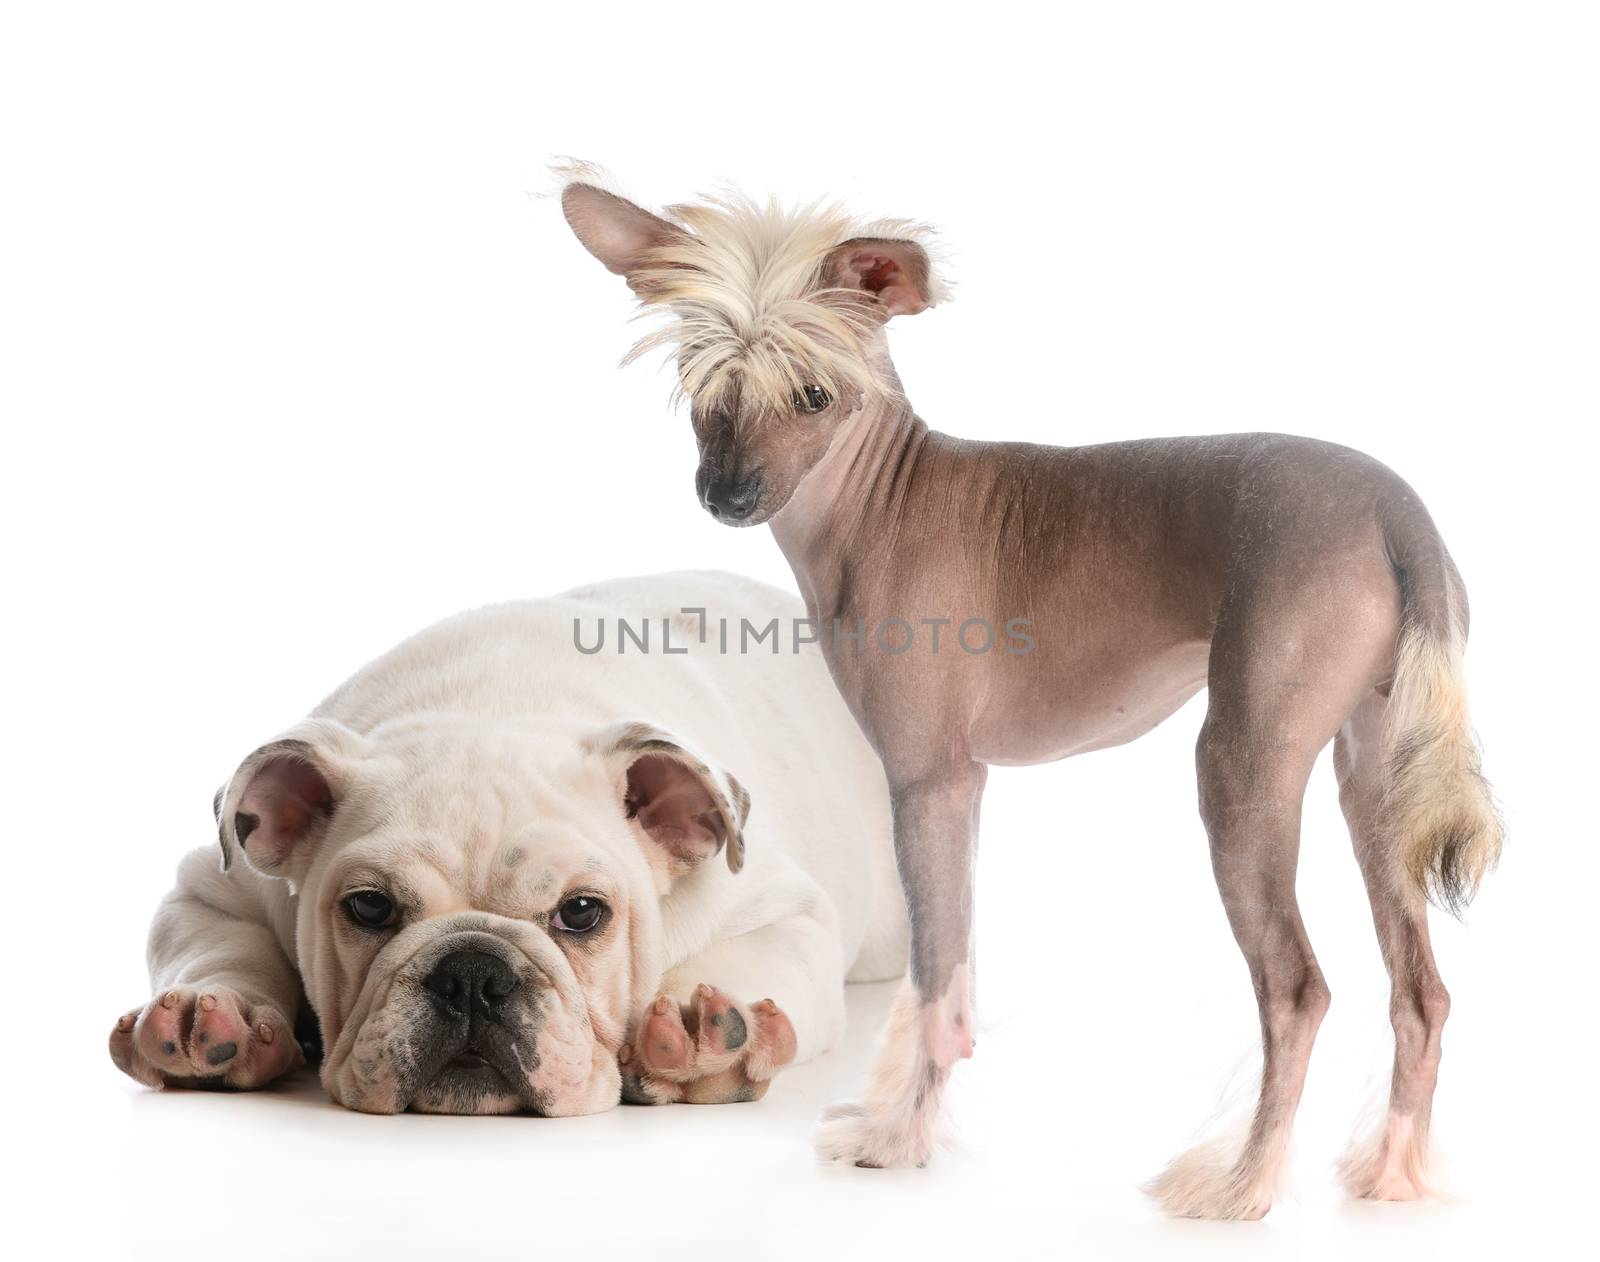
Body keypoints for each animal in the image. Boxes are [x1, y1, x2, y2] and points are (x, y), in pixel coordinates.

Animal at [560, 167, 1497, 1222]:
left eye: (812, 394)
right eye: (703, 384)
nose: (725, 494)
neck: (882, 502)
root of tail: (1396, 510)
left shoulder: (925, 783)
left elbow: (932, 981)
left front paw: (898, 1140)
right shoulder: (964, 788)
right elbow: (955, 977)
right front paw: (908, 1120)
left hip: (1243, 767)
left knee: (1298, 991)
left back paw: (1243, 1183)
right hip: (1375, 776)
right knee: (1422, 993)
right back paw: (1392, 1171)